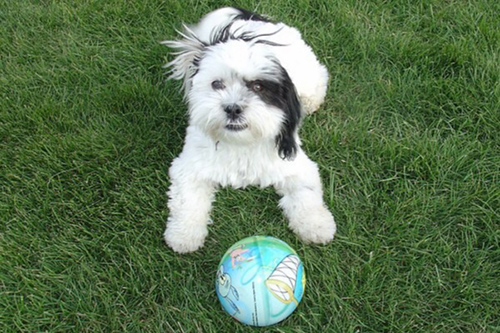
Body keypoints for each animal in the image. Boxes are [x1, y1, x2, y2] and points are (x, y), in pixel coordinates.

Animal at [163, 7, 336, 252]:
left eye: (258, 86)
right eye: (217, 84)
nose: (232, 108)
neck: (241, 142)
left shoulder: (296, 166)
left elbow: (306, 193)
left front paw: (317, 226)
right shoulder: (189, 166)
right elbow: (186, 199)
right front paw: (183, 235)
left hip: (307, 73)